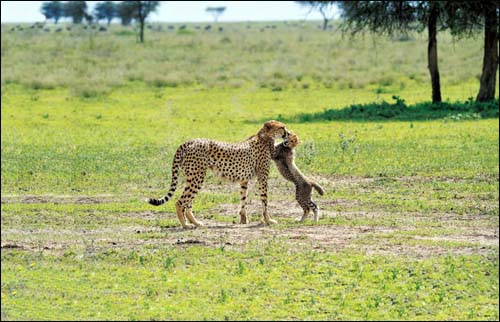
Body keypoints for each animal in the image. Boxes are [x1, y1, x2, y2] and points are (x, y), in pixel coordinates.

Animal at [147, 121, 290, 229]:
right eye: (282, 127)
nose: (288, 133)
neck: (264, 137)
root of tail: (189, 141)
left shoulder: (244, 180)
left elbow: (243, 199)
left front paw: (243, 219)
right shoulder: (263, 178)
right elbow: (265, 201)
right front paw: (268, 220)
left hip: (193, 177)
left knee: (188, 203)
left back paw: (195, 223)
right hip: (197, 177)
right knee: (180, 202)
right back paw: (185, 225)